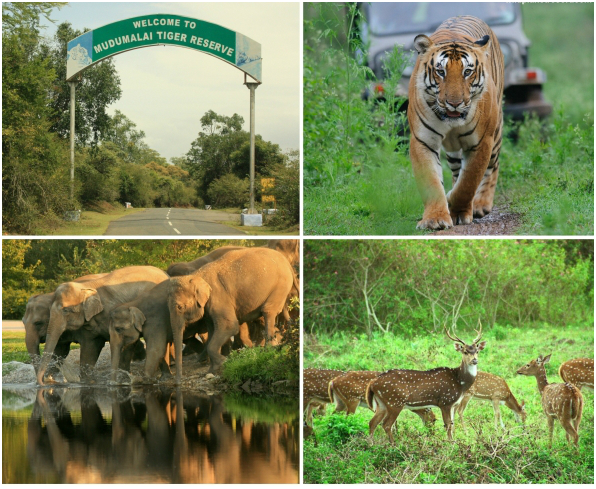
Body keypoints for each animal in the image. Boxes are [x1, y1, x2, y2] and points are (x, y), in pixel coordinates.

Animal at [36, 264, 169, 384]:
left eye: (65, 310)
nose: (45, 381)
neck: (87, 286)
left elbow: (125, 342)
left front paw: (122, 381)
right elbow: (91, 347)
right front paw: (87, 382)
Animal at [166, 246, 298, 380]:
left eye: (180, 307)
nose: (178, 381)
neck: (196, 275)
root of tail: (287, 263)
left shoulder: (218, 297)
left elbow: (229, 326)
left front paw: (223, 362)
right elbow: (212, 330)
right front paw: (213, 369)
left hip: (280, 285)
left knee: (268, 311)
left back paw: (268, 348)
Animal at [406, 15, 502, 229]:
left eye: (467, 72)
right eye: (441, 72)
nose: (455, 103)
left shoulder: (482, 142)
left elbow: (469, 182)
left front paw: (457, 209)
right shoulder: (423, 141)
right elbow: (431, 182)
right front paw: (435, 219)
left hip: (495, 134)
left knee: (492, 168)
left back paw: (481, 204)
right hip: (452, 150)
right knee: (458, 170)